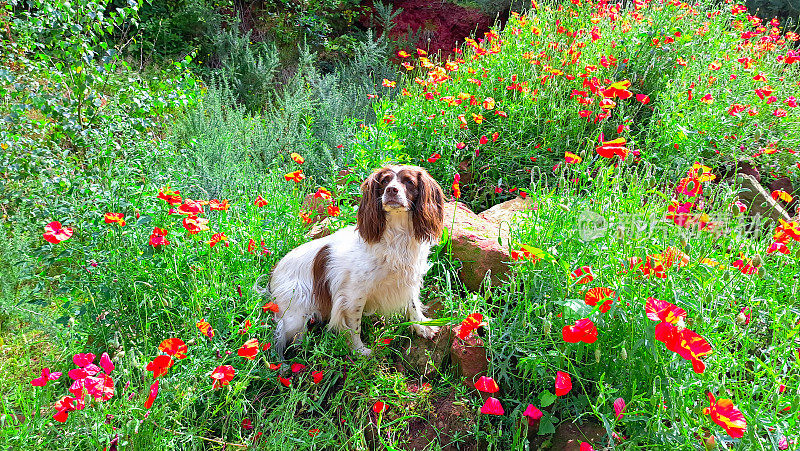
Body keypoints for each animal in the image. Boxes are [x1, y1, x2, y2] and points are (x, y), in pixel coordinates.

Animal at [262, 164, 444, 358]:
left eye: (409, 182)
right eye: (384, 181)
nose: (391, 190)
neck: (397, 236)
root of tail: (274, 272)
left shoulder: (408, 279)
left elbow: (413, 305)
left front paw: (422, 327)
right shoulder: (352, 295)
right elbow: (354, 326)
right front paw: (360, 351)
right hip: (295, 316)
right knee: (292, 340)